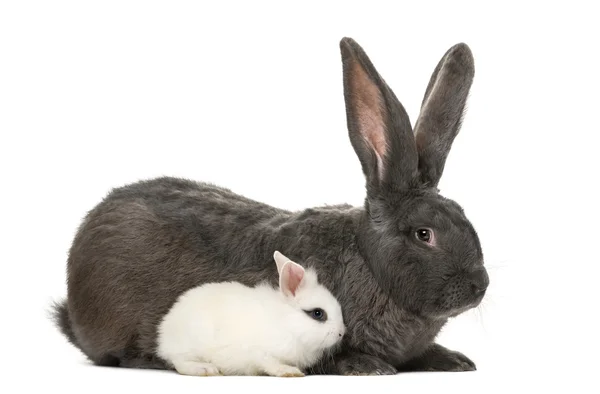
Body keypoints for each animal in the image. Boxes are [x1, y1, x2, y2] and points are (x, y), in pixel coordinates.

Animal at [155, 251, 346, 378]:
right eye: (318, 313)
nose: (341, 333)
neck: (287, 324)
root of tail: (165, 331)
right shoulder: (260, 352)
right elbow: (270, 363)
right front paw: (289, 372)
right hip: (190, 344)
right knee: (180, 362)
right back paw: (205, 369)